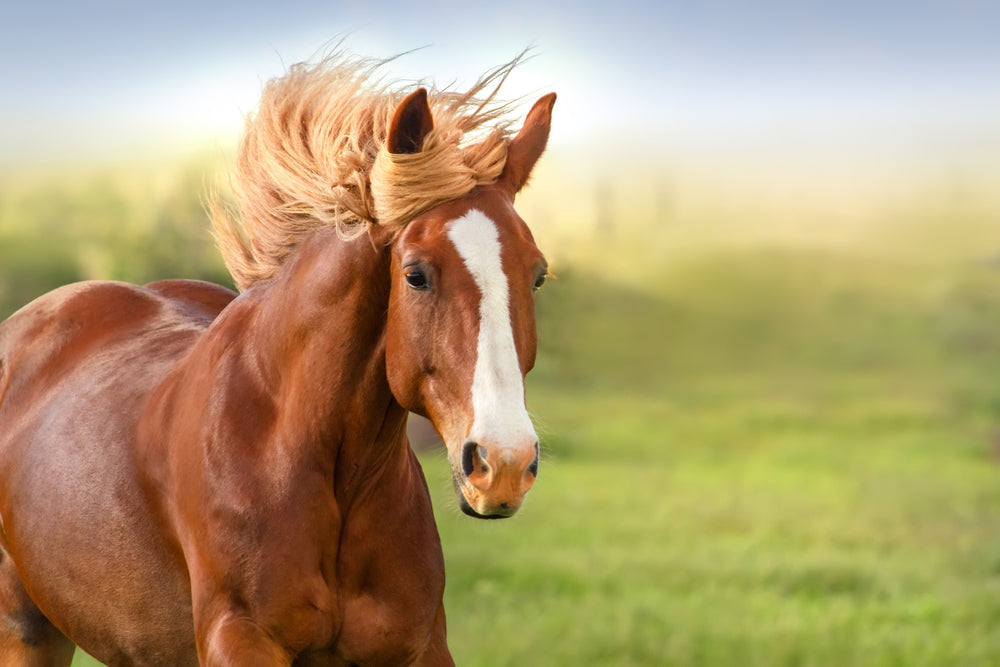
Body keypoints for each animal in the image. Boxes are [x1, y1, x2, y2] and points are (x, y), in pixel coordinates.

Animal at [0, 52, 555, 665]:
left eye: (537, 274)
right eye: (415, 274)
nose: (504, 464)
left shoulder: (421, 645)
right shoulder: (239, 638)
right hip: (27, 630)